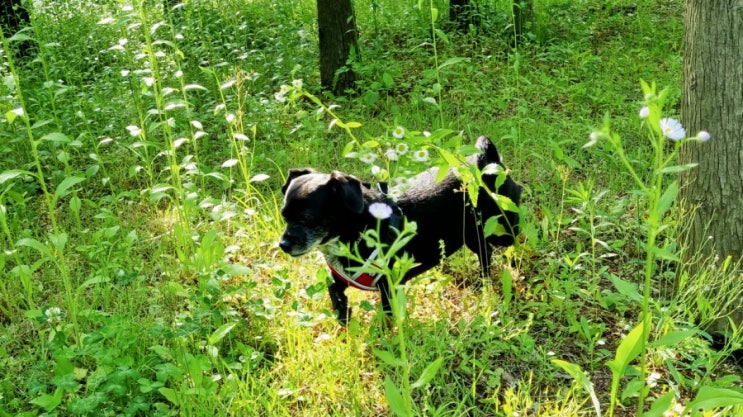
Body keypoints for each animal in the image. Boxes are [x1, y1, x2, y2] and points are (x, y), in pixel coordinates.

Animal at [280, 135, 524, 324]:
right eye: (284, 216)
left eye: (308, 218)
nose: (282, 245)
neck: (359, 228)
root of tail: (486, 162)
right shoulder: (340, 278)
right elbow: (333, 291)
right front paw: (343, 315)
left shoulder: (389, 287)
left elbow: (386, 318)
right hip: (472, 236)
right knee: (486, 254)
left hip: (501, 228)